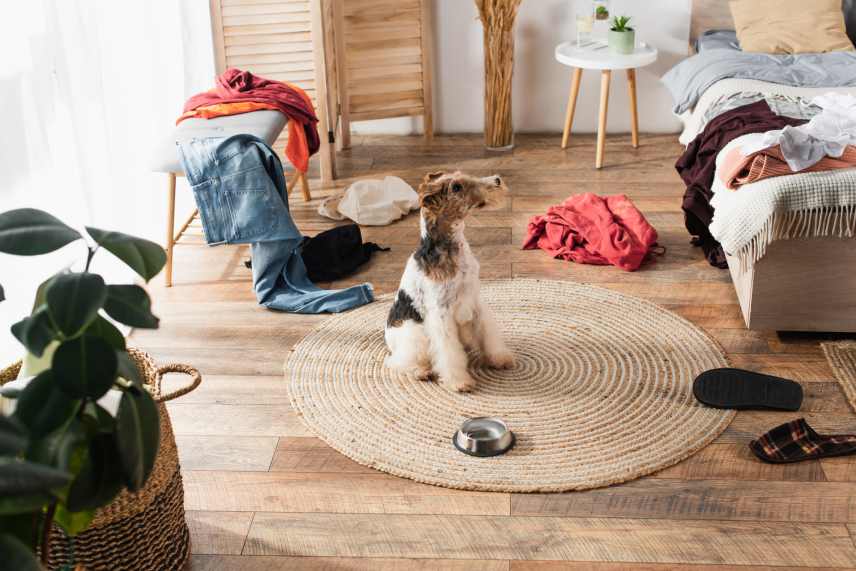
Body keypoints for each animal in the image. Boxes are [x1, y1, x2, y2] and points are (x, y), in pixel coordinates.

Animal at [382, 171, 516, 394]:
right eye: (456, 187)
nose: (497, 180)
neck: (452, 247)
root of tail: (388, 339)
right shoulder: (441, 312)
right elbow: (449, 352)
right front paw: (459, 381)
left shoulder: (475, 300)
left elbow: (488, 333)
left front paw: (500, 358)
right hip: (414, 334)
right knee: (397, 362)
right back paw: (422, 372)